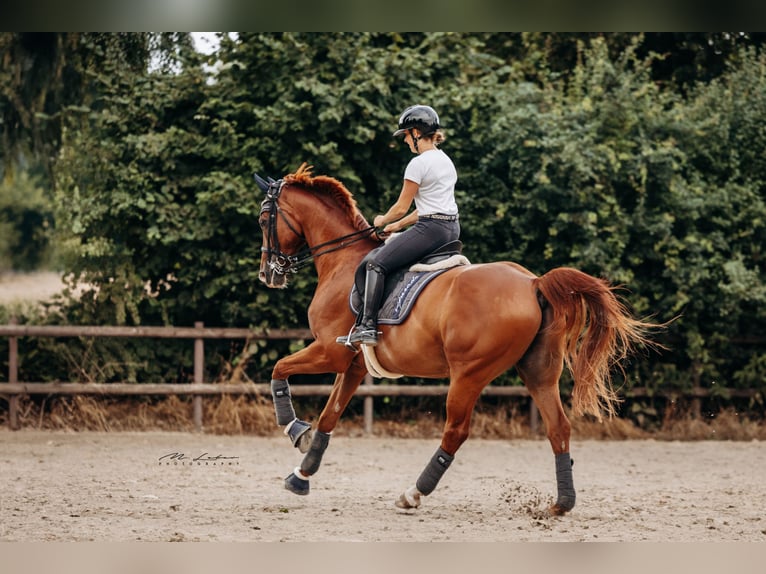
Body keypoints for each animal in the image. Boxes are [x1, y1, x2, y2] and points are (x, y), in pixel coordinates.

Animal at [256, 163, 658, 515]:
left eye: (263, 220)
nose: (268, 275)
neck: (342, 261)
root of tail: (533, 283)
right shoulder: (353, 366)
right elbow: (329, 416)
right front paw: (302, 474)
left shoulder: (329, 352)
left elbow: (279, 370)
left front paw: (295, 429)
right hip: (538, 372)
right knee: (558, 427)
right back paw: (561, 504)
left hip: (468, 373)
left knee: (456, 431)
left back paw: (413, 494)